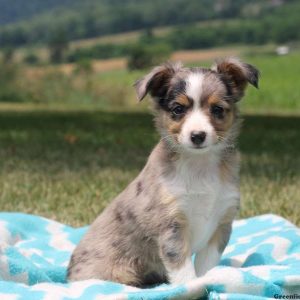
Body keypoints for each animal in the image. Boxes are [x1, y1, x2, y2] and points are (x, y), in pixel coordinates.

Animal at [67, 58, 258, 286]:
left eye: (217, 109)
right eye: (178, 109)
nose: (198, 136)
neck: (199, 165)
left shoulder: (221, 224)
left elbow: (206, 266)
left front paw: (210, 280)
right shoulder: (171, 226)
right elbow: (183, 269)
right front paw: (192, 288)